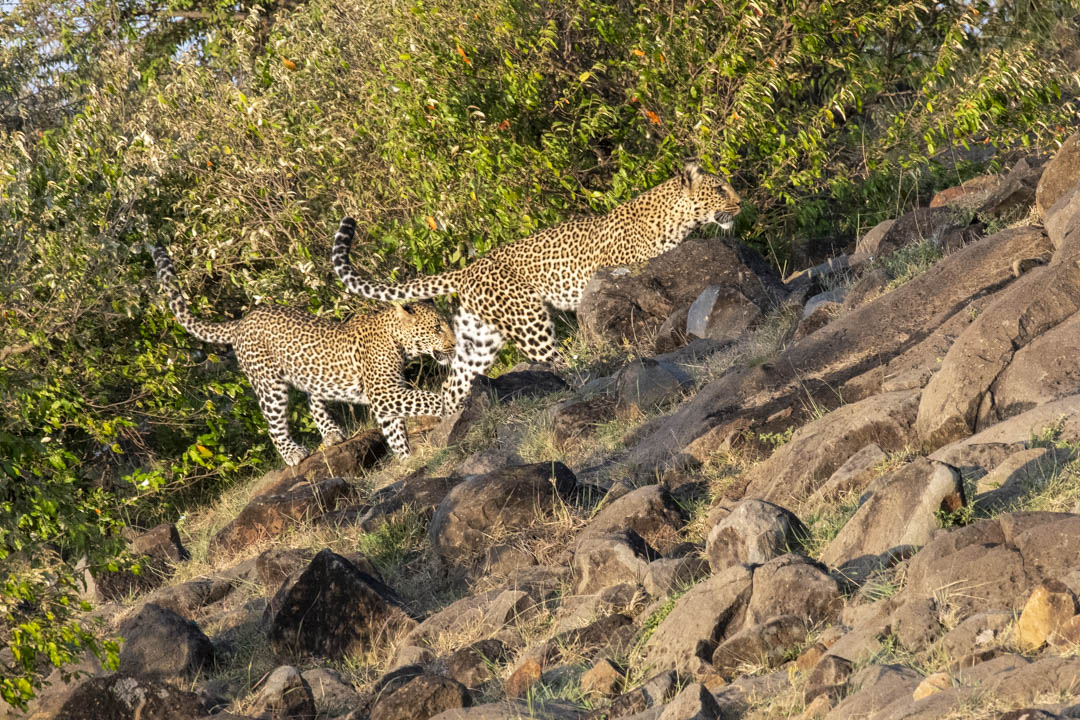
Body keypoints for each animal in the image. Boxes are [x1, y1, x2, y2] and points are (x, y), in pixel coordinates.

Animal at [152, 244, 455, 464]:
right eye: (437, 328)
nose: (454, 345)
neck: (397, 340)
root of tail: (242, 321)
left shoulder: (386, 397)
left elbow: (395, 431)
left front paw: (407, 460)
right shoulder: (384, 392)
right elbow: (425, 399)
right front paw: (450, 401)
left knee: (313, 399)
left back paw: (332, 435)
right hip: (269, 385)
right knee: (274, 424)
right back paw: (293, 454)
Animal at [331, 159, 741, 411]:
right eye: (720, 189)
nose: (740, 203)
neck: (677, 219)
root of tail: (467, 270)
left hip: (478, 338)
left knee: (454, 382)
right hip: (529, 322)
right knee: (555, 361)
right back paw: (585, 378)